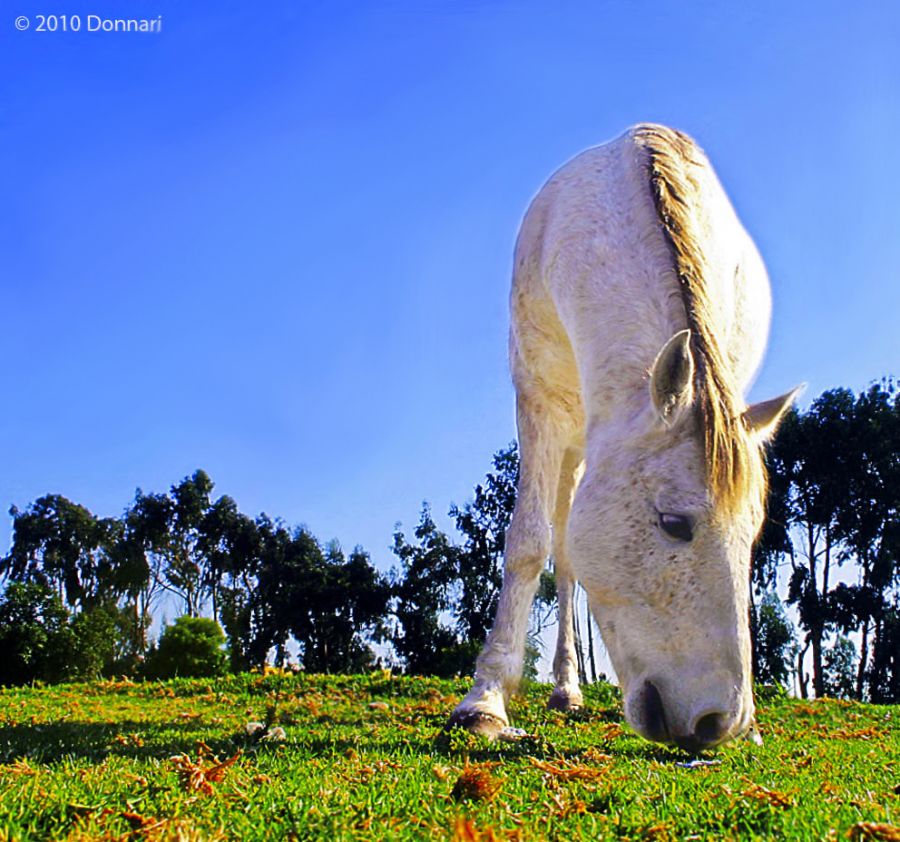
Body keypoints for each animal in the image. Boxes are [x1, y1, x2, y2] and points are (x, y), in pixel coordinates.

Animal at [450, 124, 800, 748]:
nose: (715, 722)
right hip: (571, 440)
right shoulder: (539, 404)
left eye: (753, 537)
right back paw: (565, 689)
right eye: (673, 524)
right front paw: (485, 702)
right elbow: (530, 543)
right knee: (563, 555)